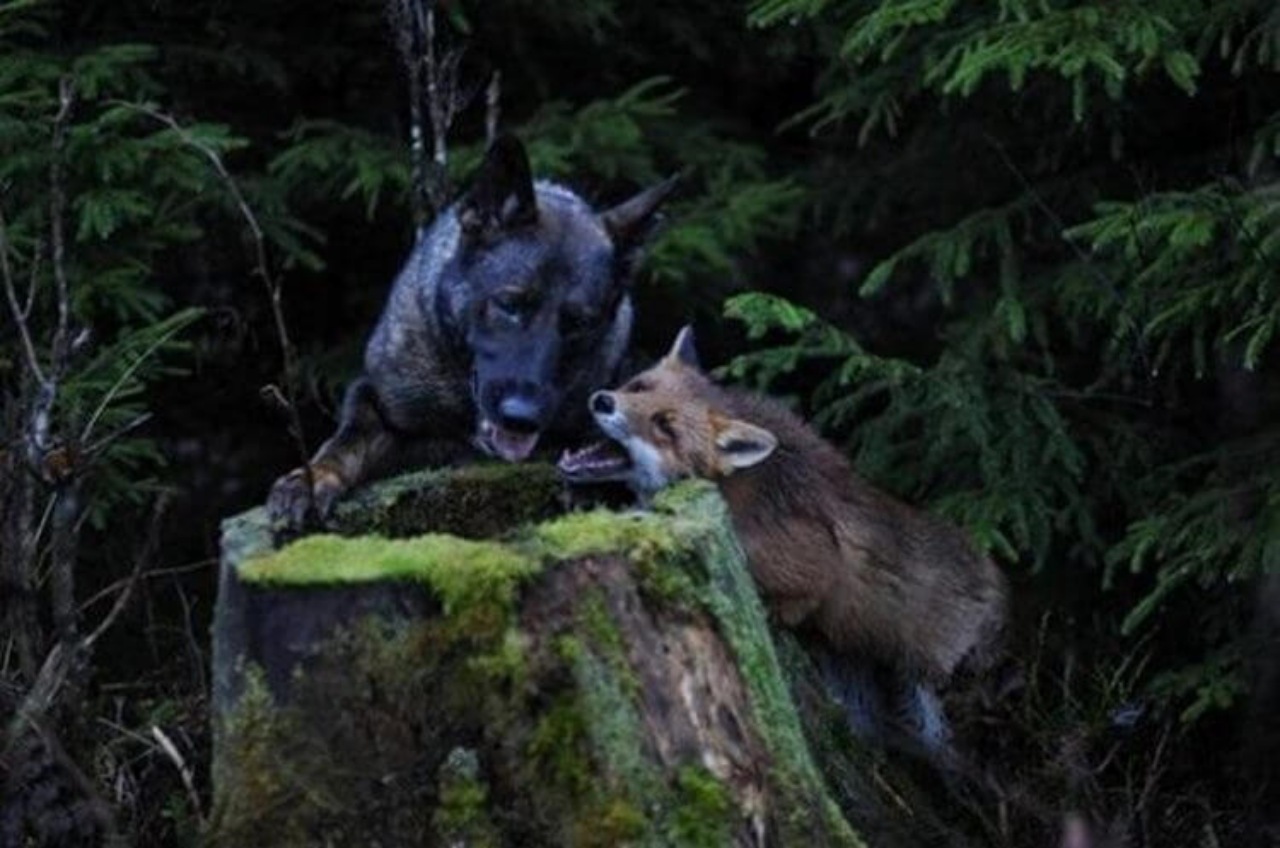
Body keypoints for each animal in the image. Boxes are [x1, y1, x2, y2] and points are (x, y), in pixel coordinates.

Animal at [271, 135, 680, 527]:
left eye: (580, 323)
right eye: (509, 305)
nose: (521, 417)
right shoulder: (375, 399)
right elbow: (346, 440)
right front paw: (312, 478)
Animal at [560, 326, 1008, 758]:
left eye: (665, 426)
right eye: (638, 387)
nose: (603, 401)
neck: (732, 491)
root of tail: (996, 580)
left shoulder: (813, 564)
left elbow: (800, 597)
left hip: (924, 682)